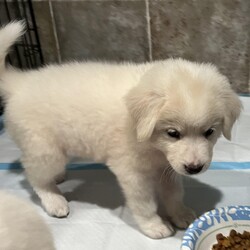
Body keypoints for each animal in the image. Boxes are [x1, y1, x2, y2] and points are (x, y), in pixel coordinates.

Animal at [0, 23, 242, 238]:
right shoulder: (132, 172)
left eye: (209, 132)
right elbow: (144, 203)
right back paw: (54, 200)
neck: (152, 144)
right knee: (33, 177)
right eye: (173, 133)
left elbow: (174, 194)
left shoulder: (168, 167)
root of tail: (20, 83)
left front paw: (180, 214)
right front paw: (154, 226)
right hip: (45, 149)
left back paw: (58, 178)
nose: (194, 168)